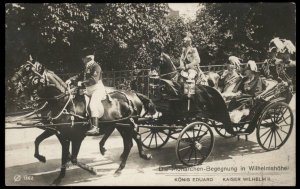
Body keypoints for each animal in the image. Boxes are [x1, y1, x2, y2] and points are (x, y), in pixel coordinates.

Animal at [8, 61, 156, 185]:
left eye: (32, 76)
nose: (17, 89)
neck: (65, 103)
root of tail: (133, 95)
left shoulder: (76, 137)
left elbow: (73, 158)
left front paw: (92, 170)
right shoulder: (59, 133)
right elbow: (43, 143)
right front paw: (53, 171)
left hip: (128, 125)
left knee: (134, 139)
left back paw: (135, 159)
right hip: (121, 126)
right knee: (129, 142)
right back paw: (120, 165)